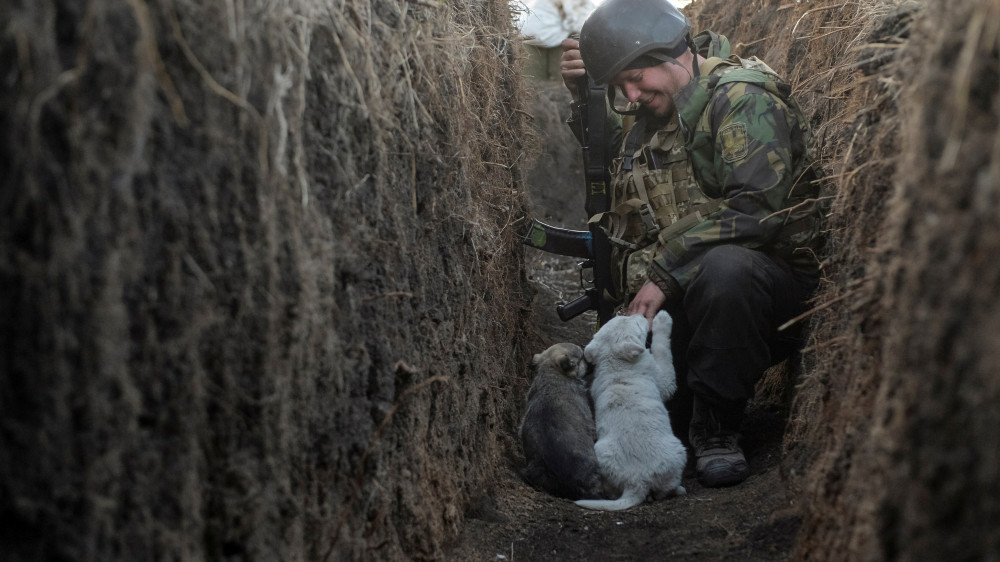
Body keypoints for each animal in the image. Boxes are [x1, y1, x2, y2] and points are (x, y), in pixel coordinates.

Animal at [572, 308, 688, 510]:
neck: (616, 364)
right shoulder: (663, 379)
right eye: (636, 323)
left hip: (601, 452)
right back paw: (678, 489)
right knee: (665, 489)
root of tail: (637, 482)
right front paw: (662, 319)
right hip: (677, 452)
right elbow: (662, 350)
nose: (641, 314)